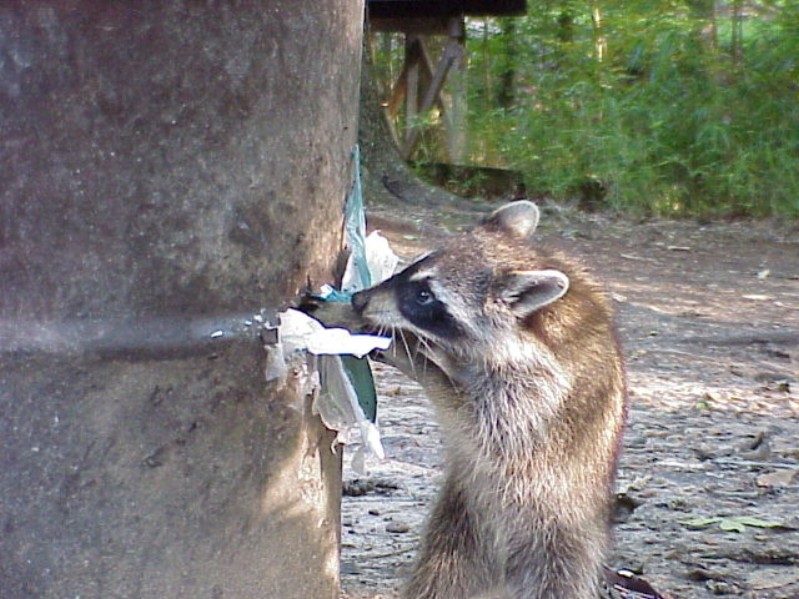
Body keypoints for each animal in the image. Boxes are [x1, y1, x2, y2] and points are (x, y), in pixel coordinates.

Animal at [322, 203, 628, 599]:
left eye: (424, 296)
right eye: (410, 271)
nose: (360, 300)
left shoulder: (540, 394)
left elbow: (474, 417)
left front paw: (406, 350)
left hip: (555, 537)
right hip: (460, 523)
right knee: (438, 577)